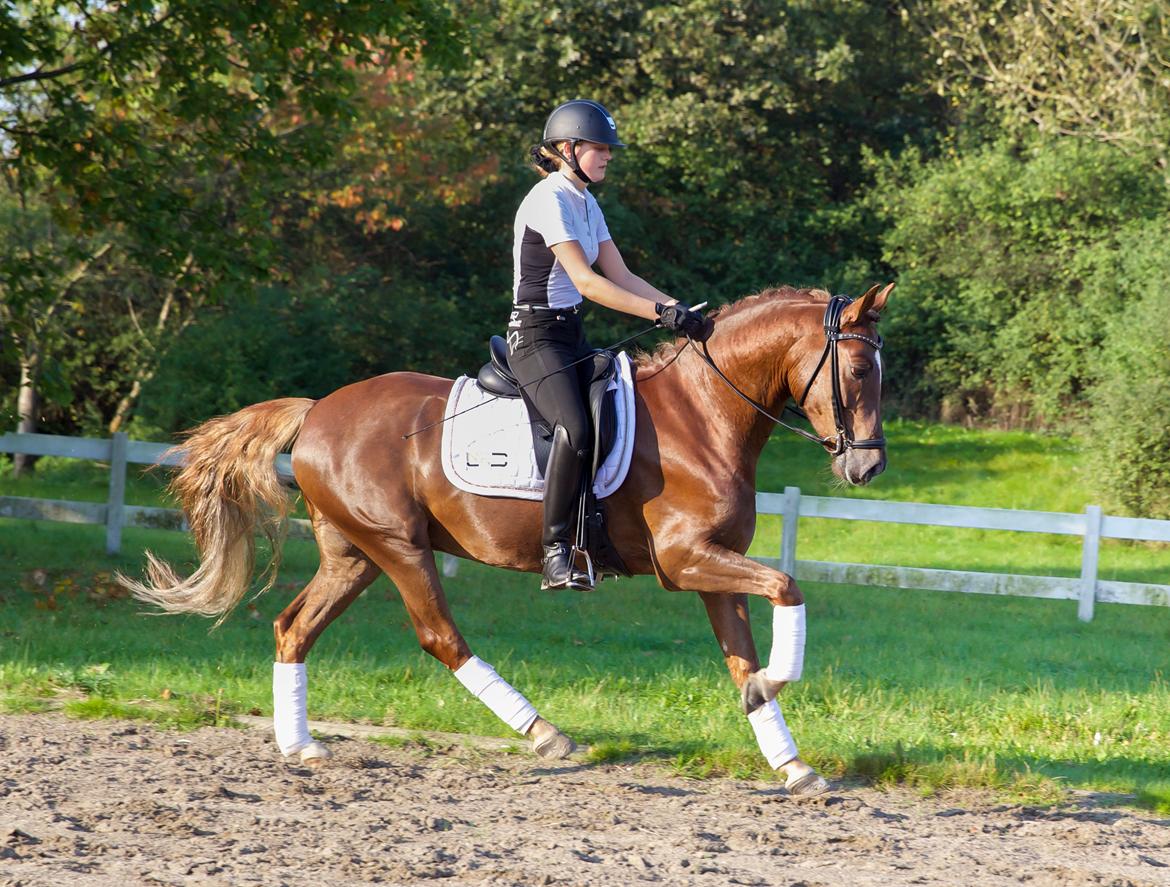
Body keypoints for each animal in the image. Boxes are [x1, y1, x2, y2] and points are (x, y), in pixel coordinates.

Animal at [125, 282, 893, 796]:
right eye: (858, 371)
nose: (868, 467)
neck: (703, 414)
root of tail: (317, 410)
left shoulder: (711, 569)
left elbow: (743, 657)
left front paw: (789, 758)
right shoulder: (687, 560)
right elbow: (787, 587)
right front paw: (776, 683)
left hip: (355, 554)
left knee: (294, 626)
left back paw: (300, 746)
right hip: (400, 547)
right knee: (440, 635)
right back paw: (545, 732)